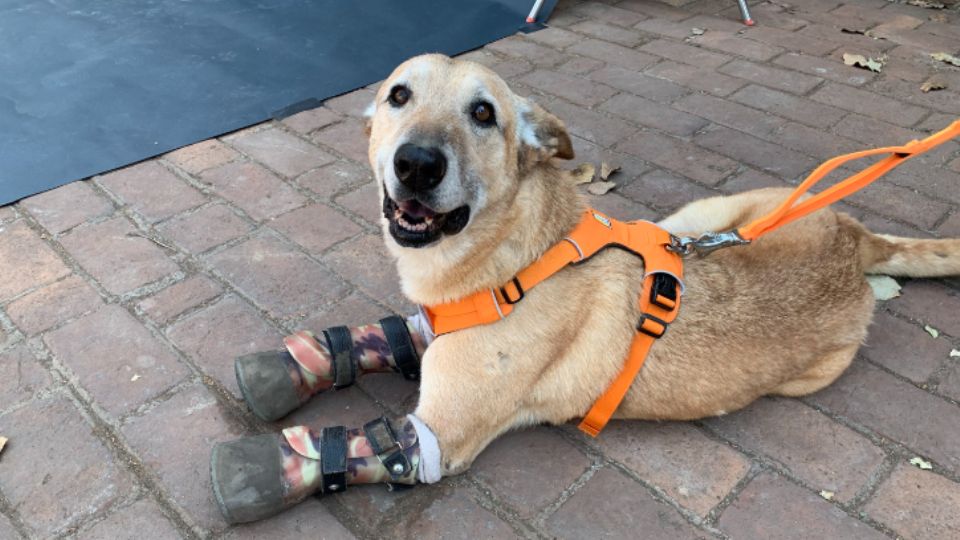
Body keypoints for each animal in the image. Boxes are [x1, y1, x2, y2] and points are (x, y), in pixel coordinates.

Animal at [366, 52, 960, 474]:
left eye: (483, 113)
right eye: (399, 94)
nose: (416, 164)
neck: (517, 259)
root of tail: (855, 240)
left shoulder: (432, 438)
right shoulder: (427, 330)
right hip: (692, 220)